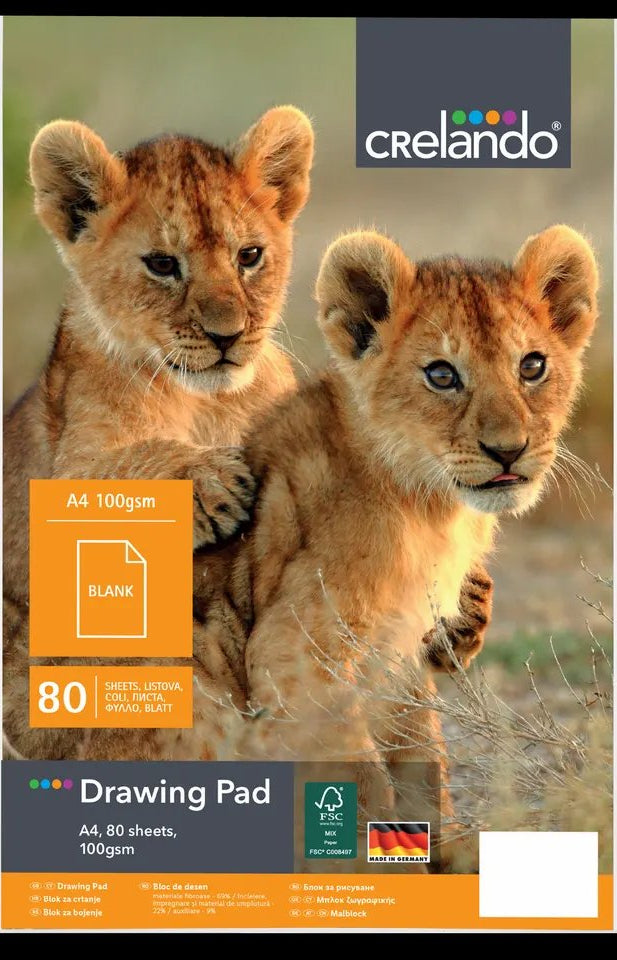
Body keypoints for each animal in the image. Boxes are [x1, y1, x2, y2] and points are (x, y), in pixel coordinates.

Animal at [3, 106, 314, 758]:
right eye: (163, 264)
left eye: (250, 255)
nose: (228, 335)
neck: (209, 403)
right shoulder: (65, 465)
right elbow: (125, 465)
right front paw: (213, 482)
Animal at [188, 224, 598, 851]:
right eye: (441, 375)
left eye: (532, 366)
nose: (509, 451)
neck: (431, 507)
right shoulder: (293, 649)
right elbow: (358, 774)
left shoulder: (399, 654)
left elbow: (418, 754)